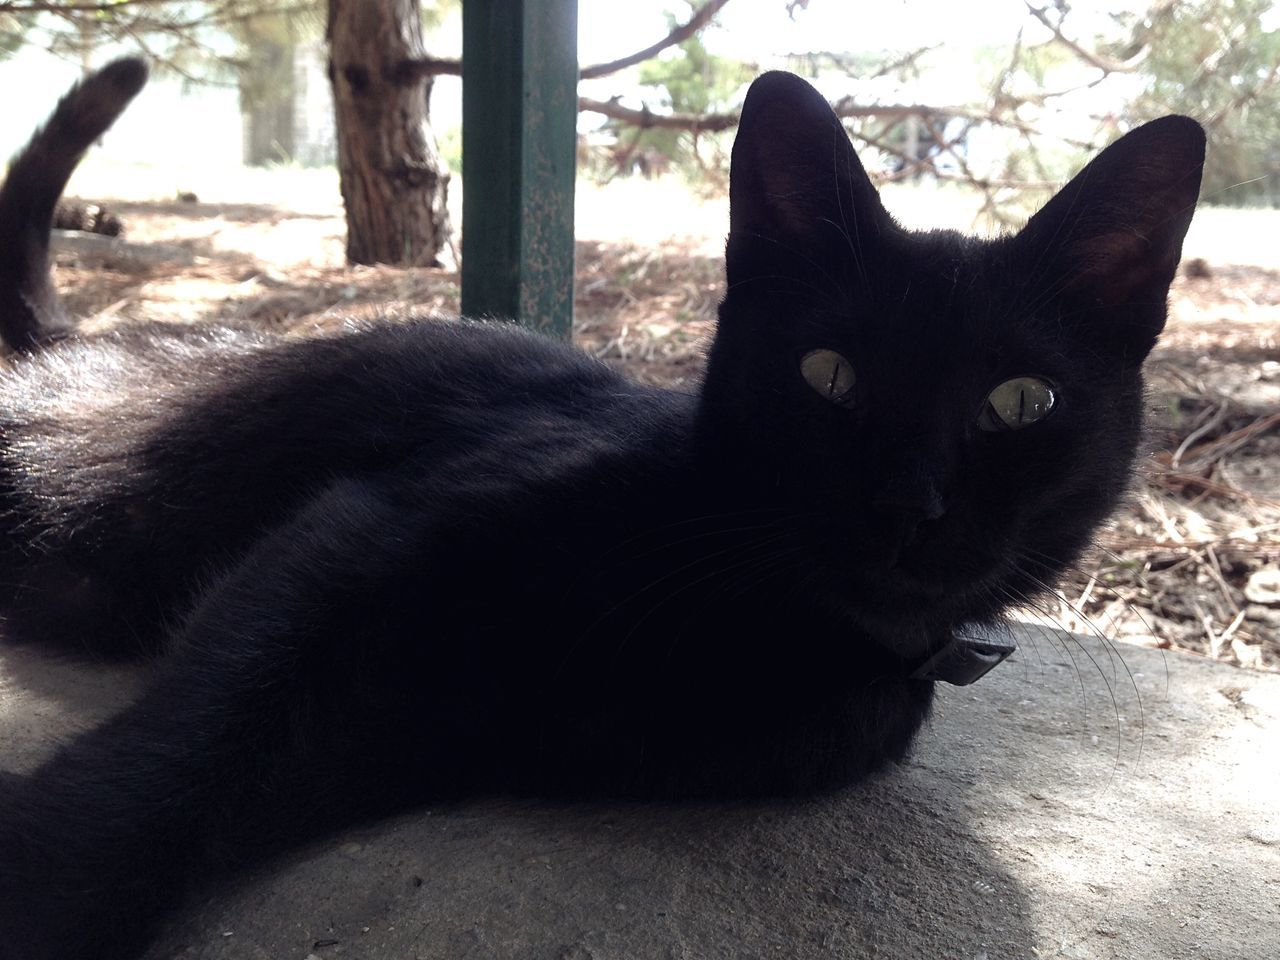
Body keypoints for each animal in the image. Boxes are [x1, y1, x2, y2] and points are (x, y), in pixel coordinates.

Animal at [0, 62, 1198, 960]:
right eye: (828, 374)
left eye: (1021, 402)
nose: (910, 502)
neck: (756, 613)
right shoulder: (359, 535)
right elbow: (192, 743)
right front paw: (48, 885)